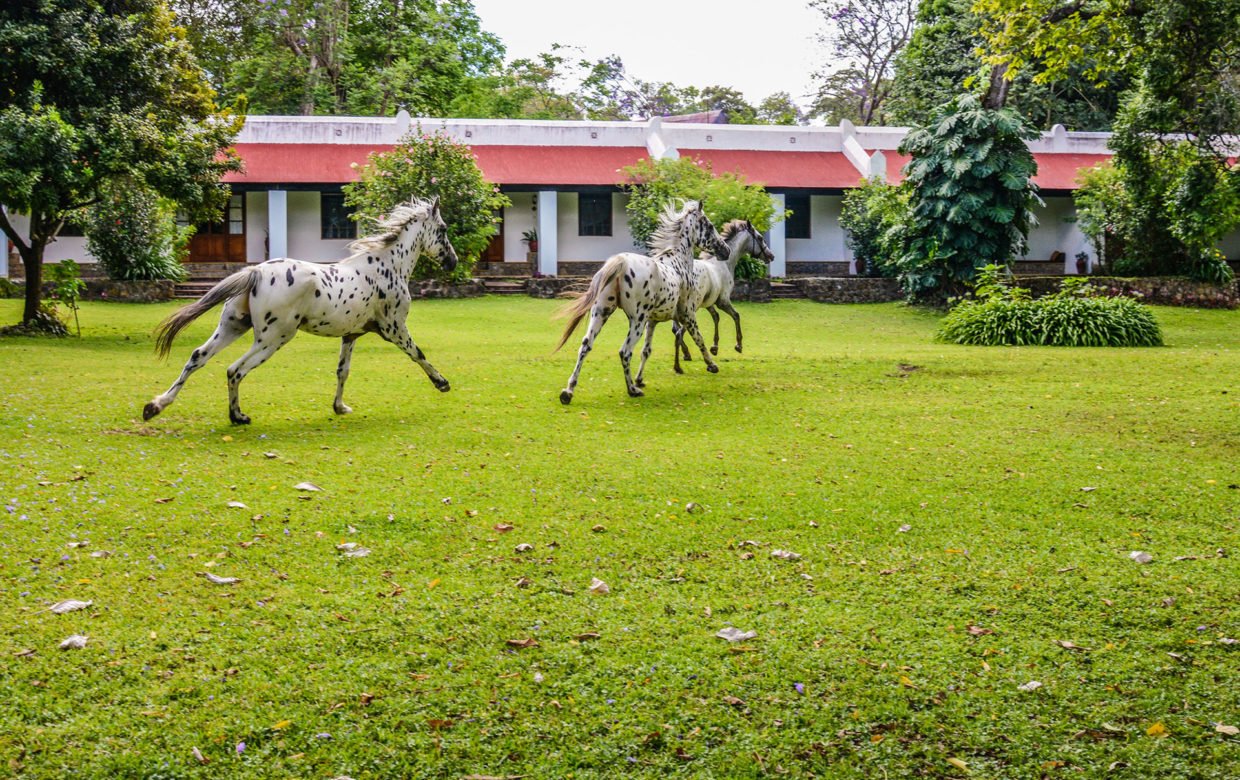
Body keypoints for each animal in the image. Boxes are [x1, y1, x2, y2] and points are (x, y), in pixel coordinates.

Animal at [143, 198, 458, 424]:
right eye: (442, 230)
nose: (453, 261)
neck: (388, 266)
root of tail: (256, 272)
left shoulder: (351, 335)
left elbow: (342, 371)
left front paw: (340, 407)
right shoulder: (394, 329)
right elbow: (418, 354)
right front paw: (442, 383)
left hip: (233, 326)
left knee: (198, 356)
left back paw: (155, 406)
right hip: (273, 338)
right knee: (235, 369)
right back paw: (238, 416)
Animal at [554, 200, 729, 404]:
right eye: (710, 226)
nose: (726, 250)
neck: (678, 263)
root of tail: (620, 263)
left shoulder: (652, 321)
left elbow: (647, 350)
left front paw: (640, 379)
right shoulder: (687, 314)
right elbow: (699, 338)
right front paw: (712, 364)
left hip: (601, 313)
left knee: (585, 345)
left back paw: (568, 392)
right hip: (636, 320)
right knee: (624, 351)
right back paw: (632, 390)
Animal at [671, 219, 774, 373]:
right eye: (760, 238)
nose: (771, 256)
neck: (724, 263)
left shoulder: (710, 303)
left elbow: (716, 317)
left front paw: (714, 348)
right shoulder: (723, 301)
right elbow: (736, 315)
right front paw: (738, 345)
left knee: (675, 330)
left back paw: (685, 355)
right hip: (689, 311)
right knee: (679, 332)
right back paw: (684, 363)